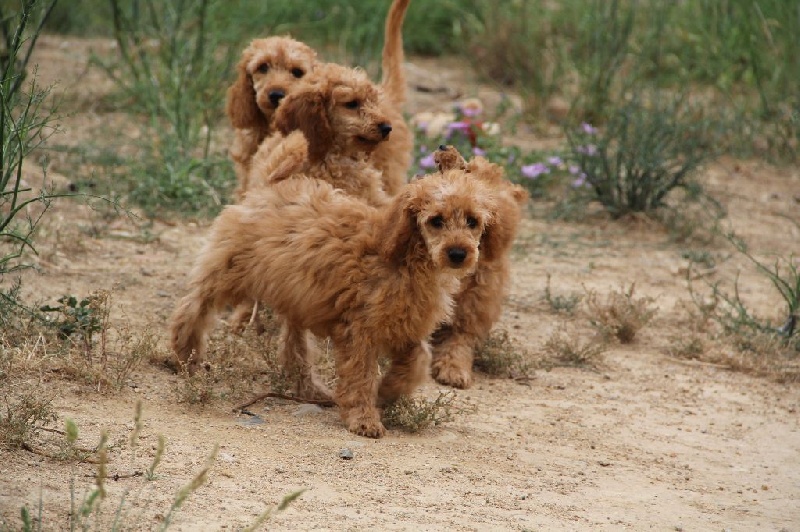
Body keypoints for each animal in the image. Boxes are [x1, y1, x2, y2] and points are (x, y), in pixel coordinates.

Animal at [172, 157, 500, 436]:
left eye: (473, 221)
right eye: (436, 220)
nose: (458, 253)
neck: (406, 257)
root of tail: (270, 186)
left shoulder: (408, 328)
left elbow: (418, 361)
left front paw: (389, 391)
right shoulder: (360, 331)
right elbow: (360, 375)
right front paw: (364, 419)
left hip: (297, 297)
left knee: (294, 348)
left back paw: (309, 389)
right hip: (229, 270)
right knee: (193, 306)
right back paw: (185, 354)